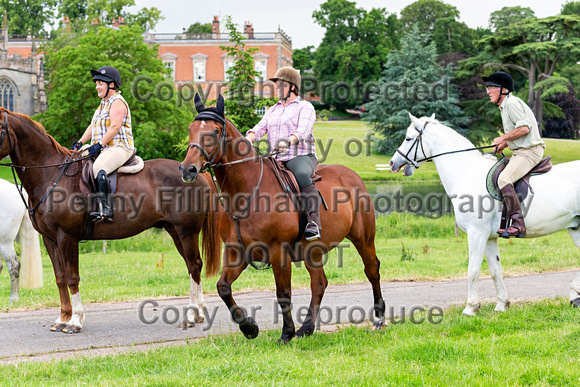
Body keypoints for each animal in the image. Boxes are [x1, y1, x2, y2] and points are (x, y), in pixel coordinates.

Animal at [0, 108, 221, 334]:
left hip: (187, 231)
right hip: (175, 231)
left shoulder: (67, 238)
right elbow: (60, 278)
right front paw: (62, 318)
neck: (51, 174)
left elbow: (72, 277)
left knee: (194, 265)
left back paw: (192, 315)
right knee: (192, 265)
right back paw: (199, 313)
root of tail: (196, 173)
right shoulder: (50, 240)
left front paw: (75, 321)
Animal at [179, 95, 382, 344]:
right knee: (319, 283)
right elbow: (223, 287)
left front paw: (286, 333)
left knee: (371, 269)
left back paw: (379, 319)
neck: (246, 192)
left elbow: (283, 292)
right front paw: (249, 327)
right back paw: (307, 328)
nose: (187, 169)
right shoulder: (237, 252)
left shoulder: (278, 252)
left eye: (215, 131)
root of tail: (352, 175)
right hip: (313, 251)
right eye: (191, 129)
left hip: (364, 239)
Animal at [388, 114, 580, 316]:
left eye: (408, 138)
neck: (466, 173)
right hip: (575, 228)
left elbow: (473, 270)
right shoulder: (489, 237)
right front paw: (502, 304)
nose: (393, 163)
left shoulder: (477, 233)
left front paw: (470, 307)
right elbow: (496, 270)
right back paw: (574, 295)